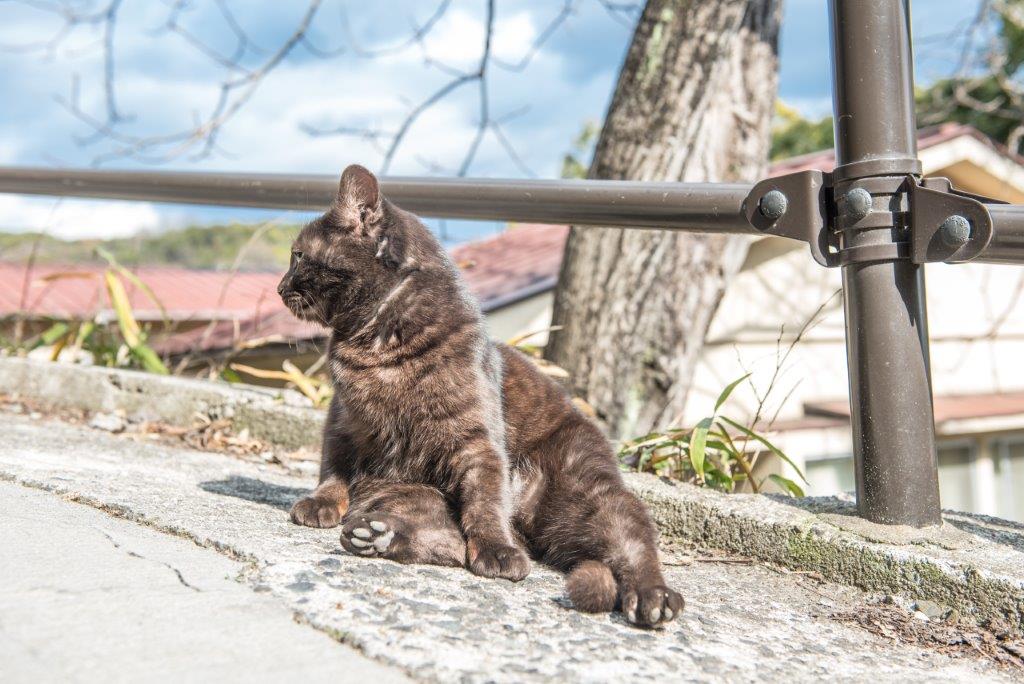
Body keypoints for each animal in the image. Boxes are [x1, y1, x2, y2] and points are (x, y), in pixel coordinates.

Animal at [276, 163, 684, 626]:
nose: (279, 286)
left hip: (591, 497)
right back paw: (376, 535)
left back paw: (651, 597)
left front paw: (495, 549)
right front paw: (320, 504)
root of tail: (526, 521)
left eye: (298, 256)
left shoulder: (476, 443)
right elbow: (333, 471)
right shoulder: (343, 422)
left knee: (633, 541)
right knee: (446, 540)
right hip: (413, 491)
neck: (379, 346)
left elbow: (484, 504)